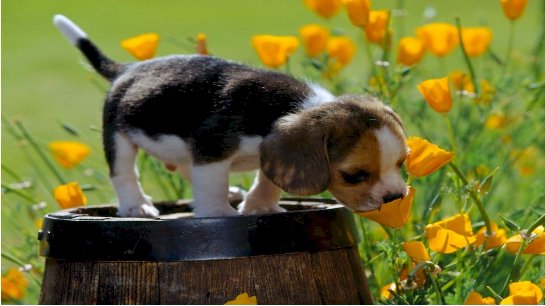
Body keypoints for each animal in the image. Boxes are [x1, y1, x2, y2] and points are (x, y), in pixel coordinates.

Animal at [54, 15, 408, 218]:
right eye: (354, 175)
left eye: (402, 162)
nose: (395, 198)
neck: (297, 107)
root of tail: (127, 70)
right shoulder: (212, 151)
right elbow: (211, 186)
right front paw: (219, 213)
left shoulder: (269, 153)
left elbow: (268, 179)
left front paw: (259, 205)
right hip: (118, 135)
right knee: (124, 172)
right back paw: (135, 206)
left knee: (185, 167)